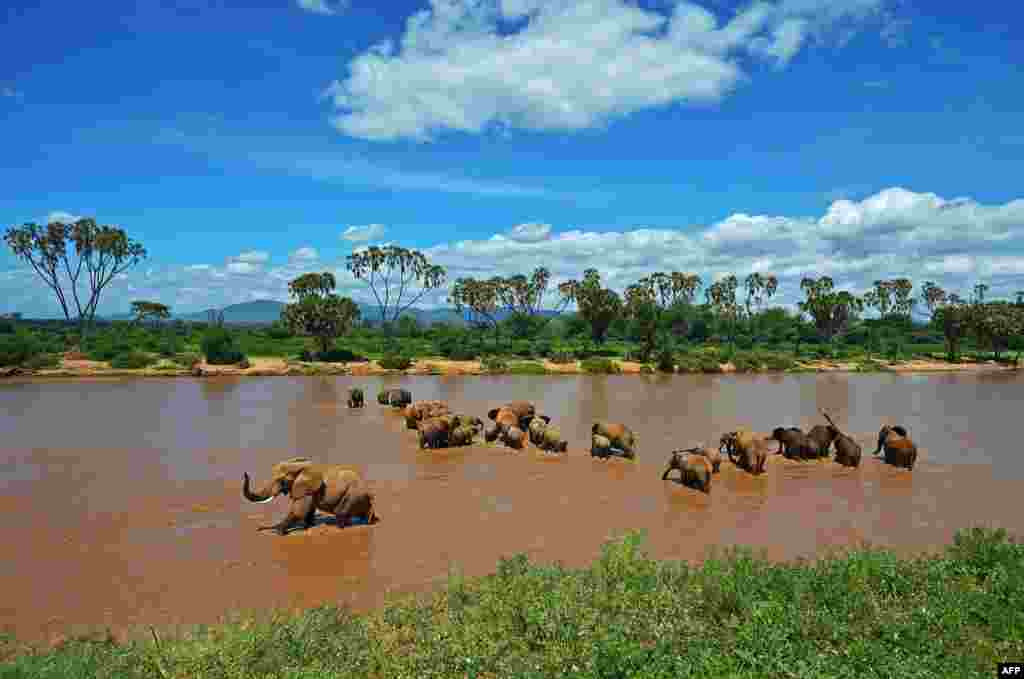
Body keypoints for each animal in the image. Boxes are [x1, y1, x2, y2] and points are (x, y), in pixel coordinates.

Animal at [240, 456, 376, 536]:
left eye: (281, 480)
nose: (245, 473)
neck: (299, 467)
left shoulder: (305, 489)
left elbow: (298, 511)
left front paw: (277, 532)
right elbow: (308, 509)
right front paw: (307, 527)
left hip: (352, 494)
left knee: (340, 513)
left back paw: (340, 528)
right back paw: (368, 521)